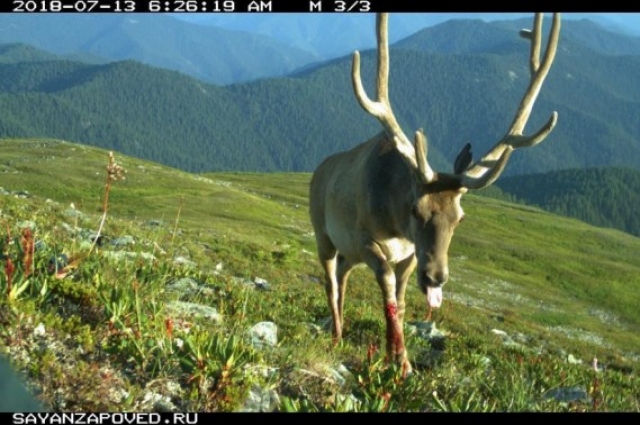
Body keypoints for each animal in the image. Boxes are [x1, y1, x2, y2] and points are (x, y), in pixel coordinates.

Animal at [308, 11, 560, 372]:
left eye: (461, 218)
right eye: (415, 209)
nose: (437, 277)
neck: (395, 221)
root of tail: (319, 170)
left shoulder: (409, 254)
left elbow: (399, 300)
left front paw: (396, 357)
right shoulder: (366, 239)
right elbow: (388, 292)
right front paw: (401, 364)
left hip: (349, 252)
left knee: (343, 274)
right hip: (324, 235)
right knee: (330, 281)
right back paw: (336, 335)